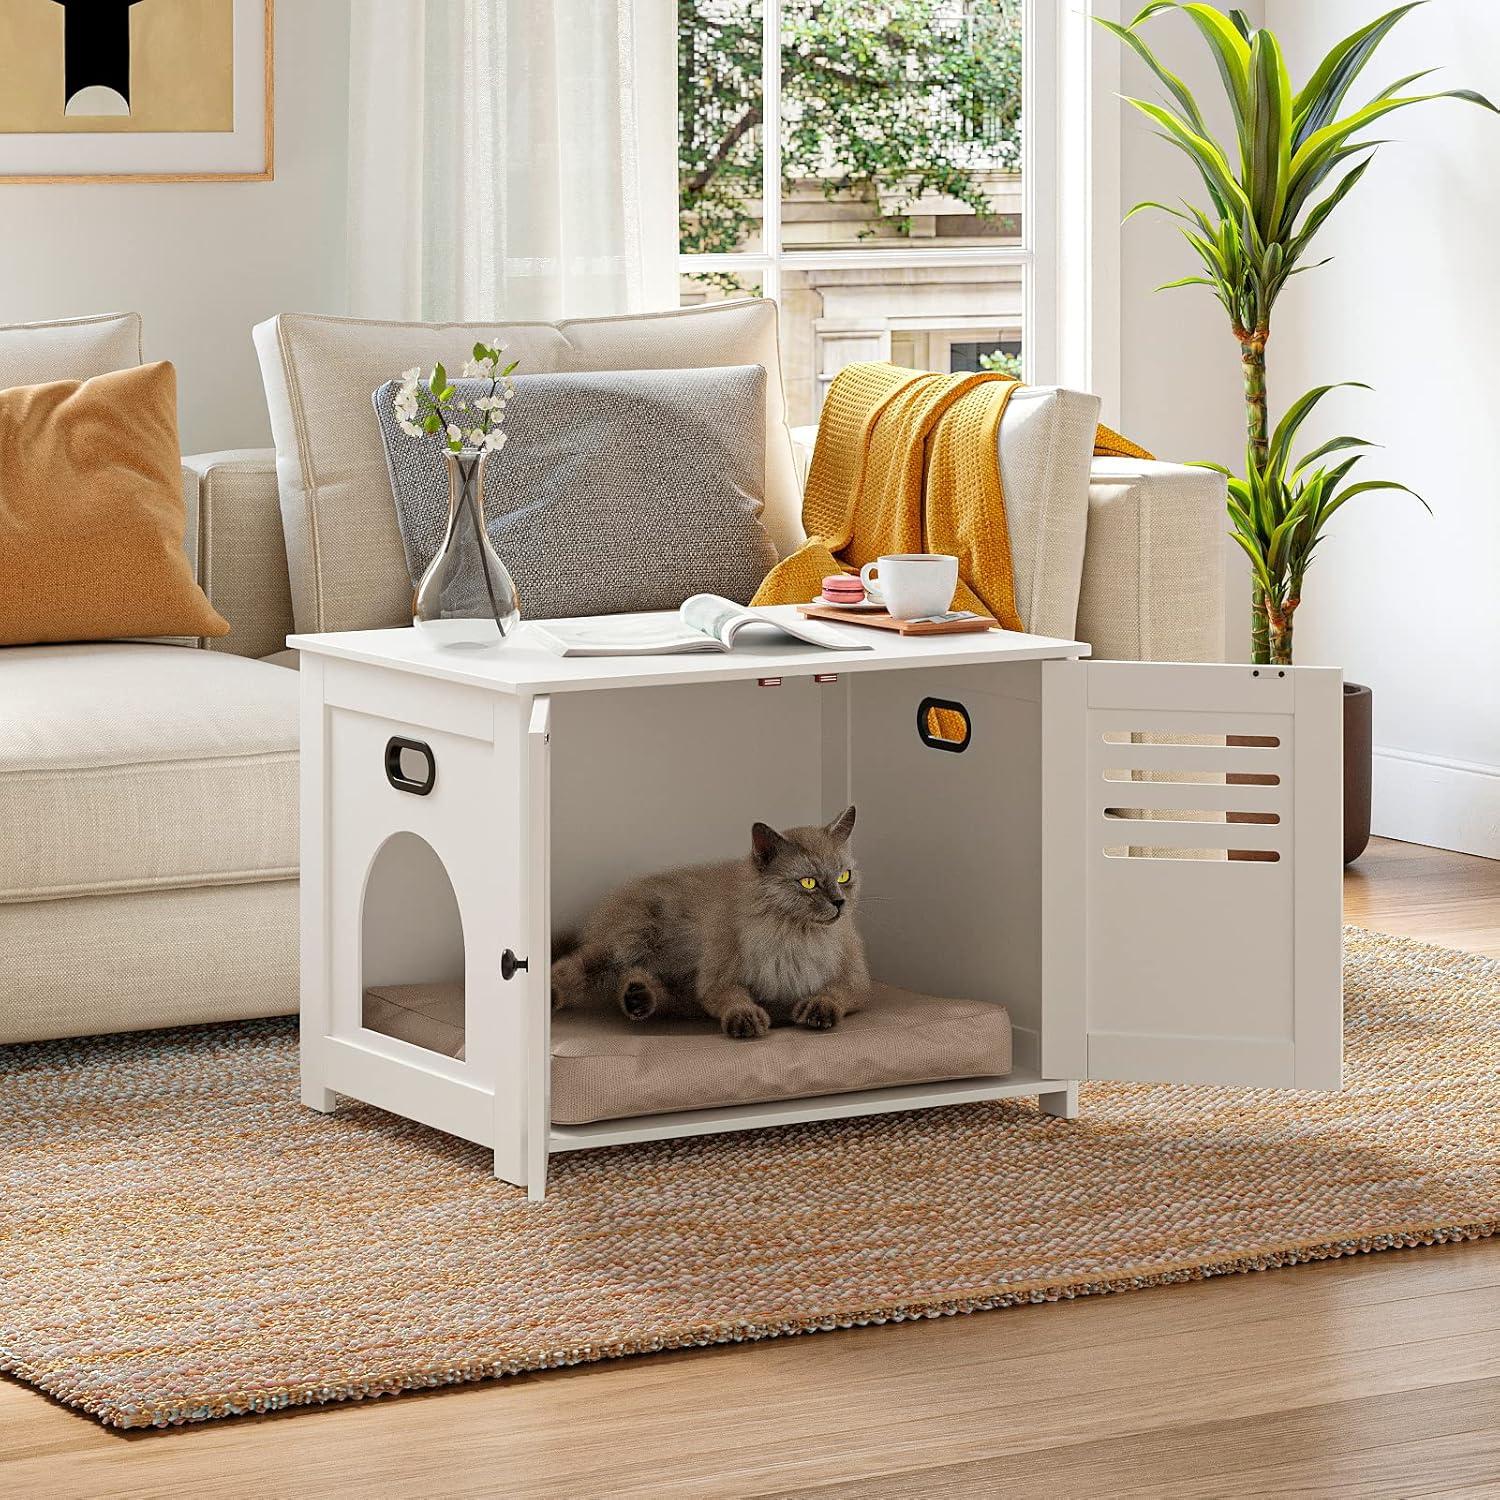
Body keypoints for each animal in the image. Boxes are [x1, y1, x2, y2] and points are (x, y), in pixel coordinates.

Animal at [552, 804, 870, 1038]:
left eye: (844, 876)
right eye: (808, 882)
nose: (839, 903)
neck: (795, 937)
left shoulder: (856, 982)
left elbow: (834, 993)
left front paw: (818, 1011)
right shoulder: (717, 981)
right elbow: (735, 999)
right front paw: (746, 1020)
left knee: (643, 982)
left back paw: (638, 998)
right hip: (624, 945)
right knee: (570, 969)